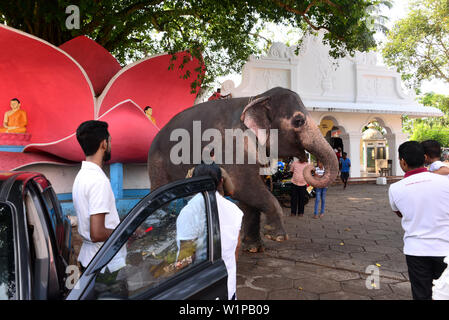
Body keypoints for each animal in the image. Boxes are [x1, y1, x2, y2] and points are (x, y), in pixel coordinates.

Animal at [147, 87, 336, 252]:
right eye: (299, 121)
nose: (310, 165)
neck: (257, 97)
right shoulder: (235, 144)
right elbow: (242, 186)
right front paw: (276, 237)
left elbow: (249, 197)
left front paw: (254, 248)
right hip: (157, 162)